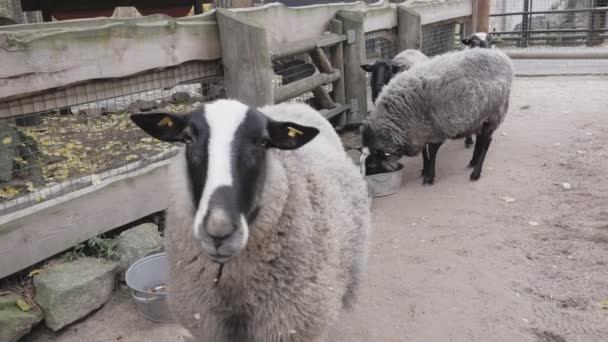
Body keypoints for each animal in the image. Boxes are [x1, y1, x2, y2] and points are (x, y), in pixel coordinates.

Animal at [360, 48, 512, 184]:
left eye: (372, 164)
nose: (365, 183)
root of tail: (504, 58)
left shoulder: (435, 128)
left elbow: (432, 151)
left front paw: (429, 177)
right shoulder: (419, 130)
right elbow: (425, 151)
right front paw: (426, 170)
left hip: (494, 113)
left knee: (486, 142)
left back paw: (476, 173)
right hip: (479, 116)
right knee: (480, 139)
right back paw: (473, 162)